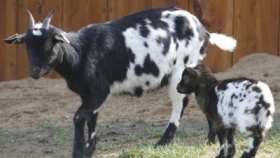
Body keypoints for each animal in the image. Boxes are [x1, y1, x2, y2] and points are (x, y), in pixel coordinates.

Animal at [4, 7, 236, 158]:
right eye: (27, 45)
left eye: (50, 43)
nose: (34, 72)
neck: (82, 52)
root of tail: (204, 31)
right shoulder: (90, 95)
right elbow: (91, 119)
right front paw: (89, 149)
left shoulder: (99, 91)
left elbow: (79, 117)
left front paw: (78, 152)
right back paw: (210, 139)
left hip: (179, 70)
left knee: (181, 103)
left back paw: (162, 142)